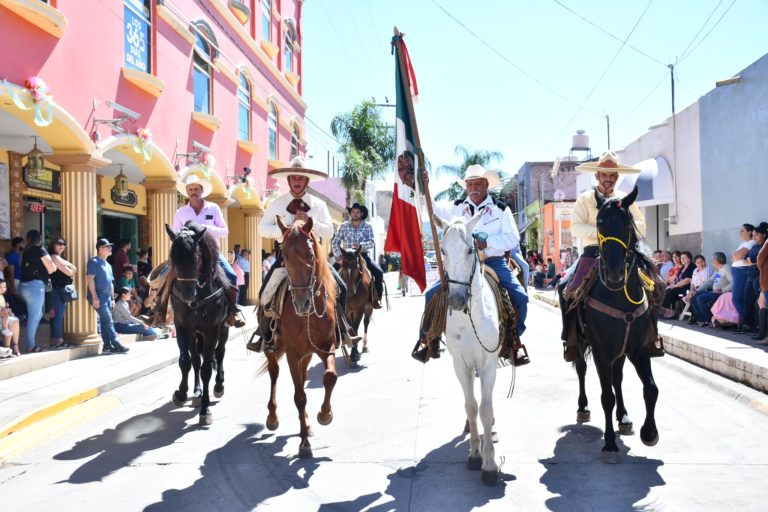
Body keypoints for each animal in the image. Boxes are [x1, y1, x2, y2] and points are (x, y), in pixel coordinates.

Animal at [166, 220, 230, 424]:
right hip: (195, 334)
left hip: (223, 329)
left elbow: (207, 369)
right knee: (195, 360)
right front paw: (181, 393)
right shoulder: (182, 328)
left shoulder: (211, 330)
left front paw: (205, 409)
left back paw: (219, 385)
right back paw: (196, 392)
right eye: (174, 260)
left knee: (220, 353)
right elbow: (186, 362)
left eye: (196, 259)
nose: (188, 295)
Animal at [262, 216, 338, 460]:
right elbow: (299, 397)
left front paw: (325, 414)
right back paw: (272, 417)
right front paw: (304, 443)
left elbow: (330, 377)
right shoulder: (293, 354)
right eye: (284, 255)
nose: (301, 303)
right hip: (274, 349)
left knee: (303, 378)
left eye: (310, 254)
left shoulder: (326, 346)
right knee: (274, 373)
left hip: (306, 355)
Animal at [584, 186, 660, 462]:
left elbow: (651, 389)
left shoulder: (639, 349)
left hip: (621, 352)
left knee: (617, 378)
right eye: (600, 223)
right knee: (581, 372)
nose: (615, 272)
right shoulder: (601, 352)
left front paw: (649, 433)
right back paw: (583, 408)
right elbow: (606, 397)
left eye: (627, 223)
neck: (618, 294)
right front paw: (609, 444)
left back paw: (624, 418)